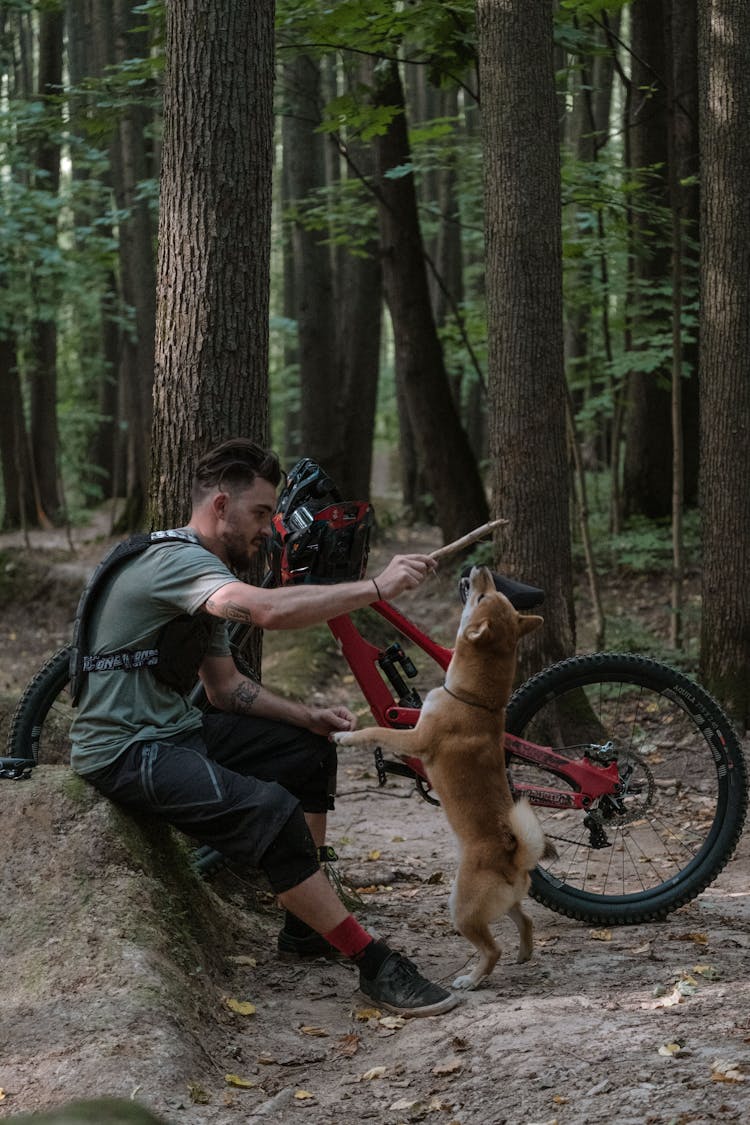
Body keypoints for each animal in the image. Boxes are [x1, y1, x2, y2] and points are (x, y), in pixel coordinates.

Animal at [335, 567, 550, 990]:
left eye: (483, 597)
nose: (479, 568)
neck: (476, 699)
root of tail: (513, 857)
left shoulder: (413, 738)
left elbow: (374, 731)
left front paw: (344, 736)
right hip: (506, 903)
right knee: (526, 920)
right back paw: (523, 953)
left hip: (460, 909)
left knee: (491, 949)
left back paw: (472, 979)